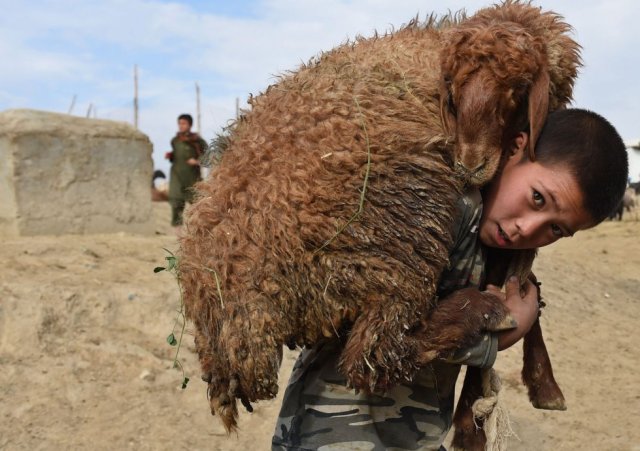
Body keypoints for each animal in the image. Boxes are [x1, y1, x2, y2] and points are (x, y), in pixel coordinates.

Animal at [178, 0, 584, 434]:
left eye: (517, 90)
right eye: (454, 89)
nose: (468, 164)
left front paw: (543, 385)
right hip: (395, 240)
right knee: (374, 357)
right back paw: (480, 311)